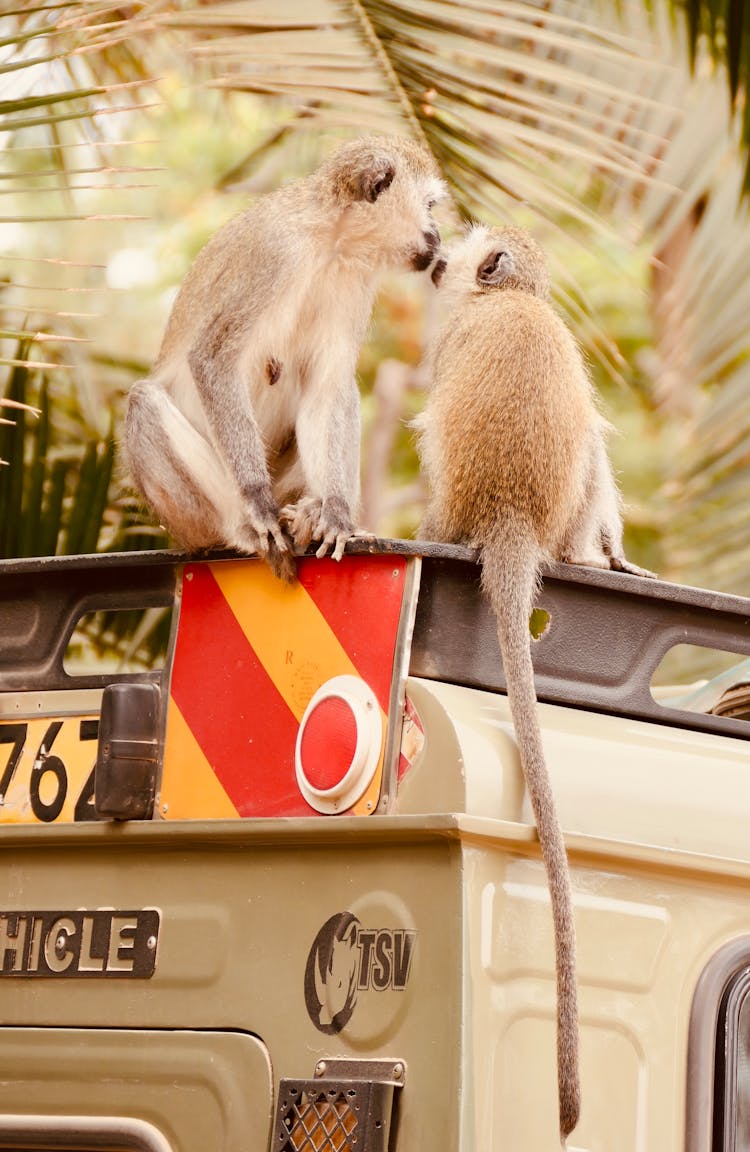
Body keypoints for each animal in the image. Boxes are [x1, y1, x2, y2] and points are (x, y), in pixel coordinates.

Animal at [123, 138, 447, 580]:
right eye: (429, 206)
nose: (438, 233)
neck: (329, 240)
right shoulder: (275, 253)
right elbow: (212, 358)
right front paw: (258, 502)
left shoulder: (355, 280)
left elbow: (326, 387)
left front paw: (336, 514)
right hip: (191, 521)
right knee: (144, 401)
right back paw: (240, 528)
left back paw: (311, 510)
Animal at [417, 222, 658, 1142]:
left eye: (464, 241)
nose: (437, 245)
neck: (510, 301)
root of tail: (510, 517)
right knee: (591, 454)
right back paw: (608, 554)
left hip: (461, 500)